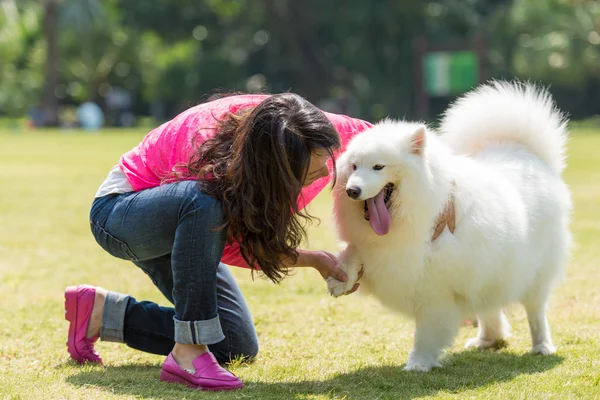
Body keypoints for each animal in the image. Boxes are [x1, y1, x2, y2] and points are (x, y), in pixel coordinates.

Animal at [328, 81, 572, 372]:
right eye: (353, 166)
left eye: (378, 167)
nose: (352, 190)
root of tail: (526, 153)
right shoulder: (380, 251)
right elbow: (354, 250)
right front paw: (341, 277)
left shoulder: (434, 291)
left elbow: (427, 332)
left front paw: (418, 364)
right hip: (489, 270)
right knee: (489, 305)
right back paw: (488, 340)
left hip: (534, 275)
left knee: (535, 312)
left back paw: (541, 347)